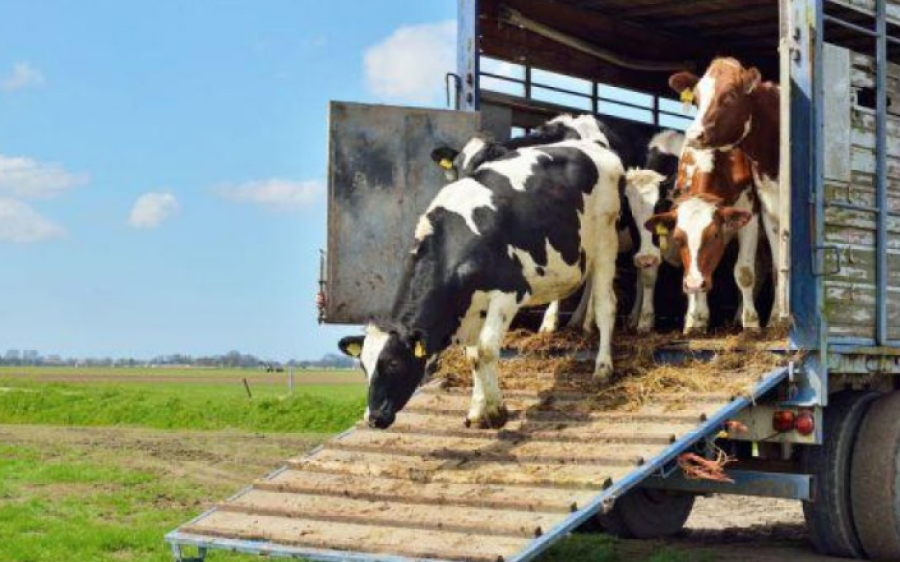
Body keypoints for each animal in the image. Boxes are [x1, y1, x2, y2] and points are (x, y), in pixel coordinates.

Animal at [338, 138, 624, 426]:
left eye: (394, 363)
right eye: (363, 366)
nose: (374, 417)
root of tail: (591, 145)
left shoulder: (508, 292)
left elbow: (486, 350)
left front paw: (497, 411)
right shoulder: (471, 306)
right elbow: (473, 355)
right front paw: (477, 409)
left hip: (606, 241)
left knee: (606, 306)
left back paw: (603, 367)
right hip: (585, 254)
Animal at [648, 147, 760, 332]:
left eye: (714, 235)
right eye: (678, 238)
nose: (694, 283)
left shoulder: (750, 212)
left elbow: (744, 272)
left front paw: (751, 322)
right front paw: (695, 318)